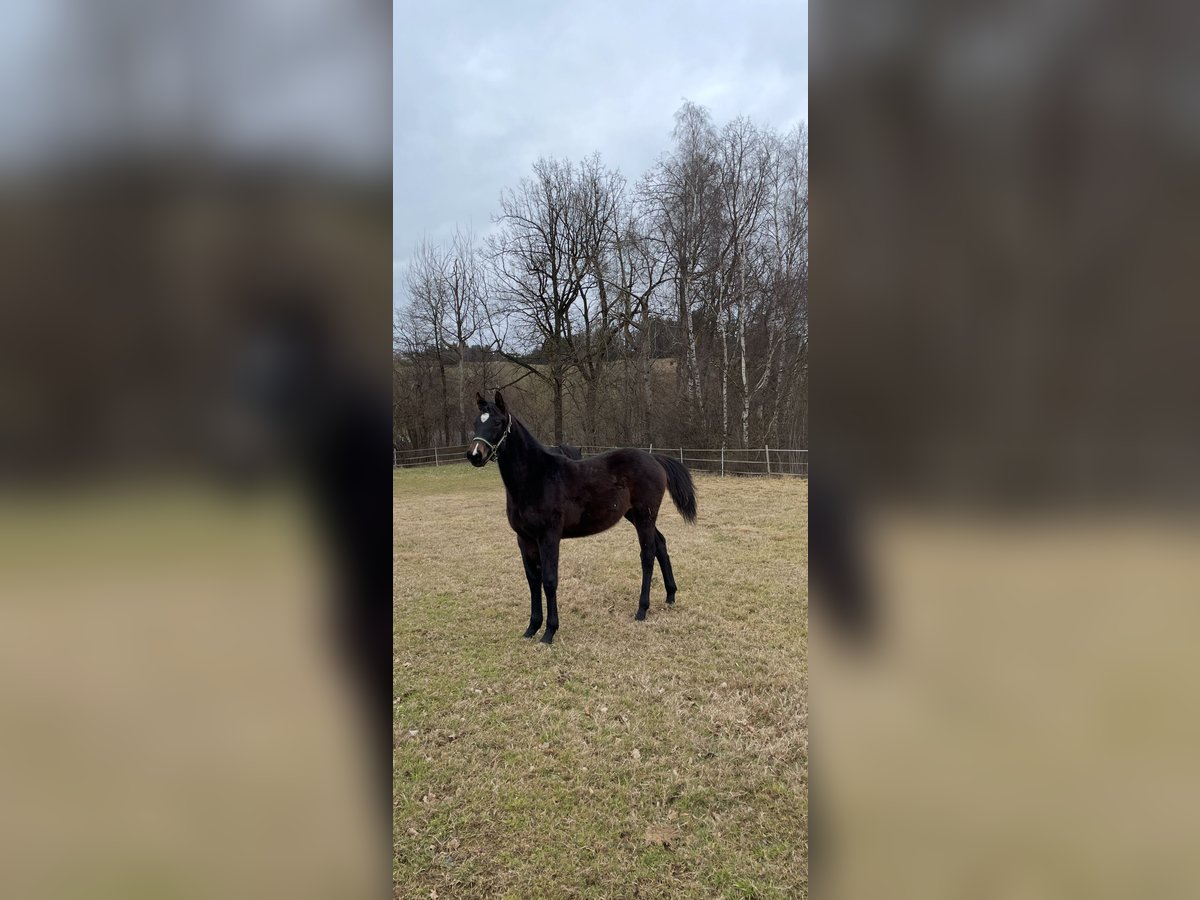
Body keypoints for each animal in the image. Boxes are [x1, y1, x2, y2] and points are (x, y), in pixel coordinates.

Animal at [465, 391, 700, 643]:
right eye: (476, 422)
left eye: (498, 422)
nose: (475, 455)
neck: (536, 479)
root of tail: (654, 459)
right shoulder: (524, 538)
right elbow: (532, 581)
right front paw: (531, 628)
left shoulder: (549, 537)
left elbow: (549, 580)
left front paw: (549, 632)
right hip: (635, 516)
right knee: (660, 544)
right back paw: (670, 595)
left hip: (645, 515)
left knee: (647, 555)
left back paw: (642, 610)